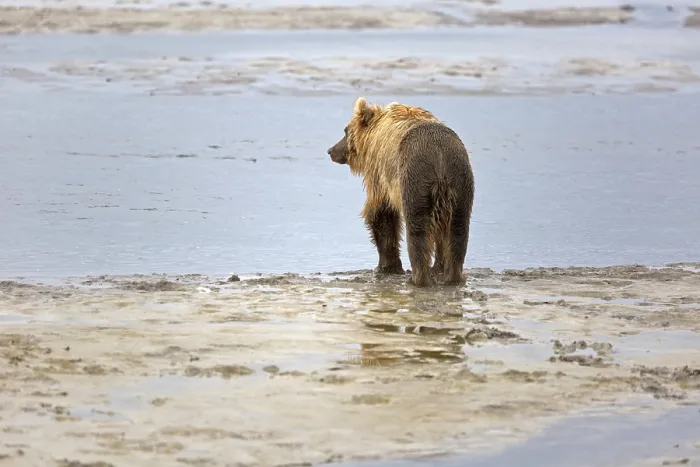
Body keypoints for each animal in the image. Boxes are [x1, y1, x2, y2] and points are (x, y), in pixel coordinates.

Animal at [327, 97, 475, 287]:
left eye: (345, 131)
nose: (331, 150)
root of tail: (439, 155)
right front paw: (438, 268)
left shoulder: (379, 173)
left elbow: (380, 212)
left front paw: (387, 266)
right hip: (460, 182)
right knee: (457, 229)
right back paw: (453, 276)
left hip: (415, 178)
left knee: (417, 229)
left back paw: (418, 278)